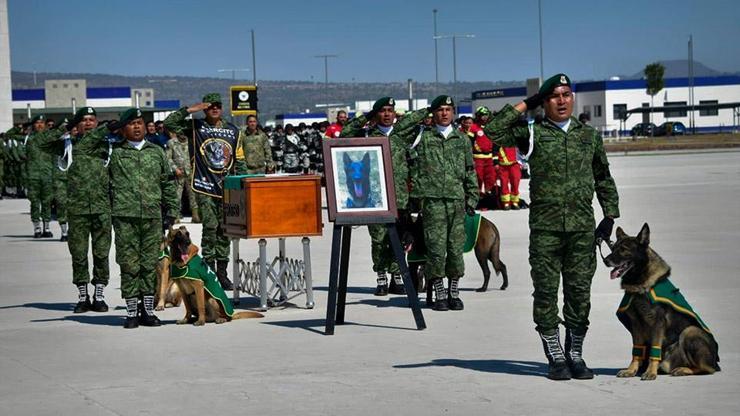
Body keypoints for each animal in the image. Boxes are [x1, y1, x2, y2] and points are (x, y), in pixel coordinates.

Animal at [604, 224, 720, 380]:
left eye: (623, 249)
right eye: (613, 248)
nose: (605, 261)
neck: (640, 285)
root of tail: (716, 360)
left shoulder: (657, 323)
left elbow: (655, 349)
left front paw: (650, 372)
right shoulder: (636, 324)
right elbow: (636, 351)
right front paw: (631, 370)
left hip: (690, 331)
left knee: (707, 369)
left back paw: (683, 369)